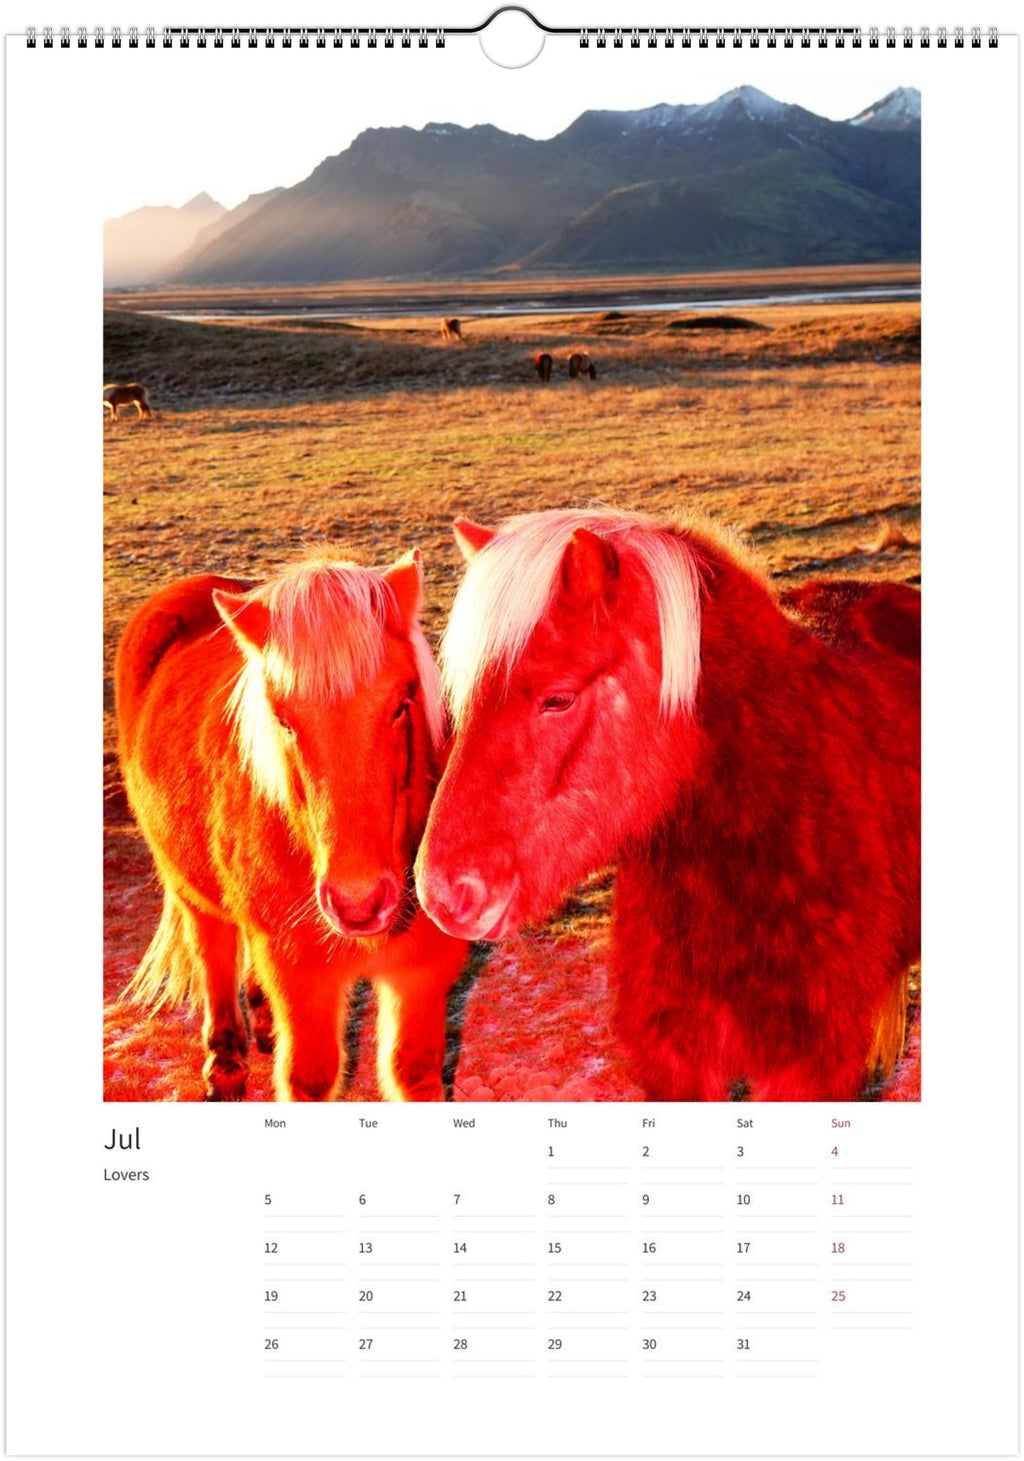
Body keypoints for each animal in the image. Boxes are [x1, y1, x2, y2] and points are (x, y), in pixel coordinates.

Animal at [116, 550, 469, 1102]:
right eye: (284, 720)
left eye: (401, 703)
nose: (359, 903)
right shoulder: (303, 982)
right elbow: (310, 1076)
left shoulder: (422, 976)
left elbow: (414, 1073)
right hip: (191, 891)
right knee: (213, 958)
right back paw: (225, 1064)